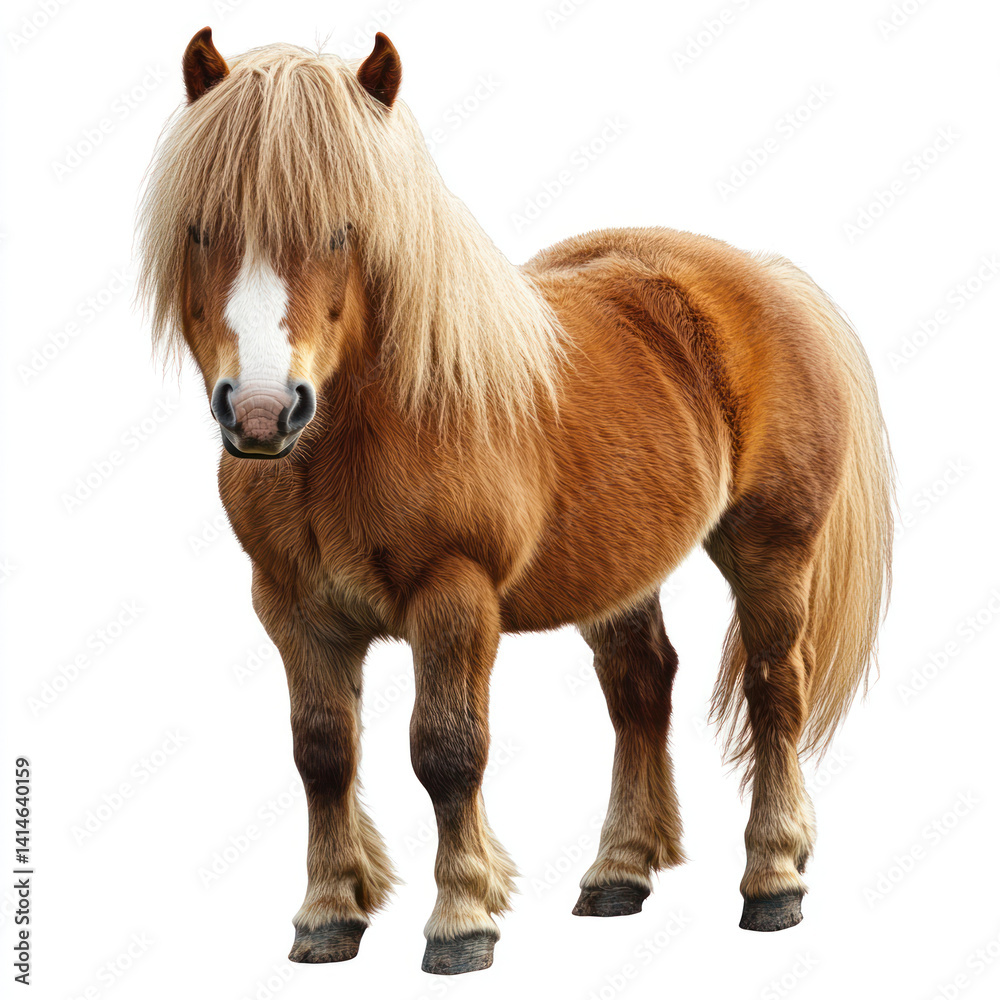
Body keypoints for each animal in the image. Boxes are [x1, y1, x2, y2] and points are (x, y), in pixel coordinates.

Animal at [137, 28, 894, 976]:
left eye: (345, 228)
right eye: (202, 228)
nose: (264, 412)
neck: (366, 433)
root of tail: (767, 277)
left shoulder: (454, 599)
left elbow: (447, 752)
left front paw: (462, 920)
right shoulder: (292, 606)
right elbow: (322, 753)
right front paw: (328, 915)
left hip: (771, 549)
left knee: (774, 690)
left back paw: (773, 880)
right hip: (621, 569)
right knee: (641, 689)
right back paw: (619, 872)